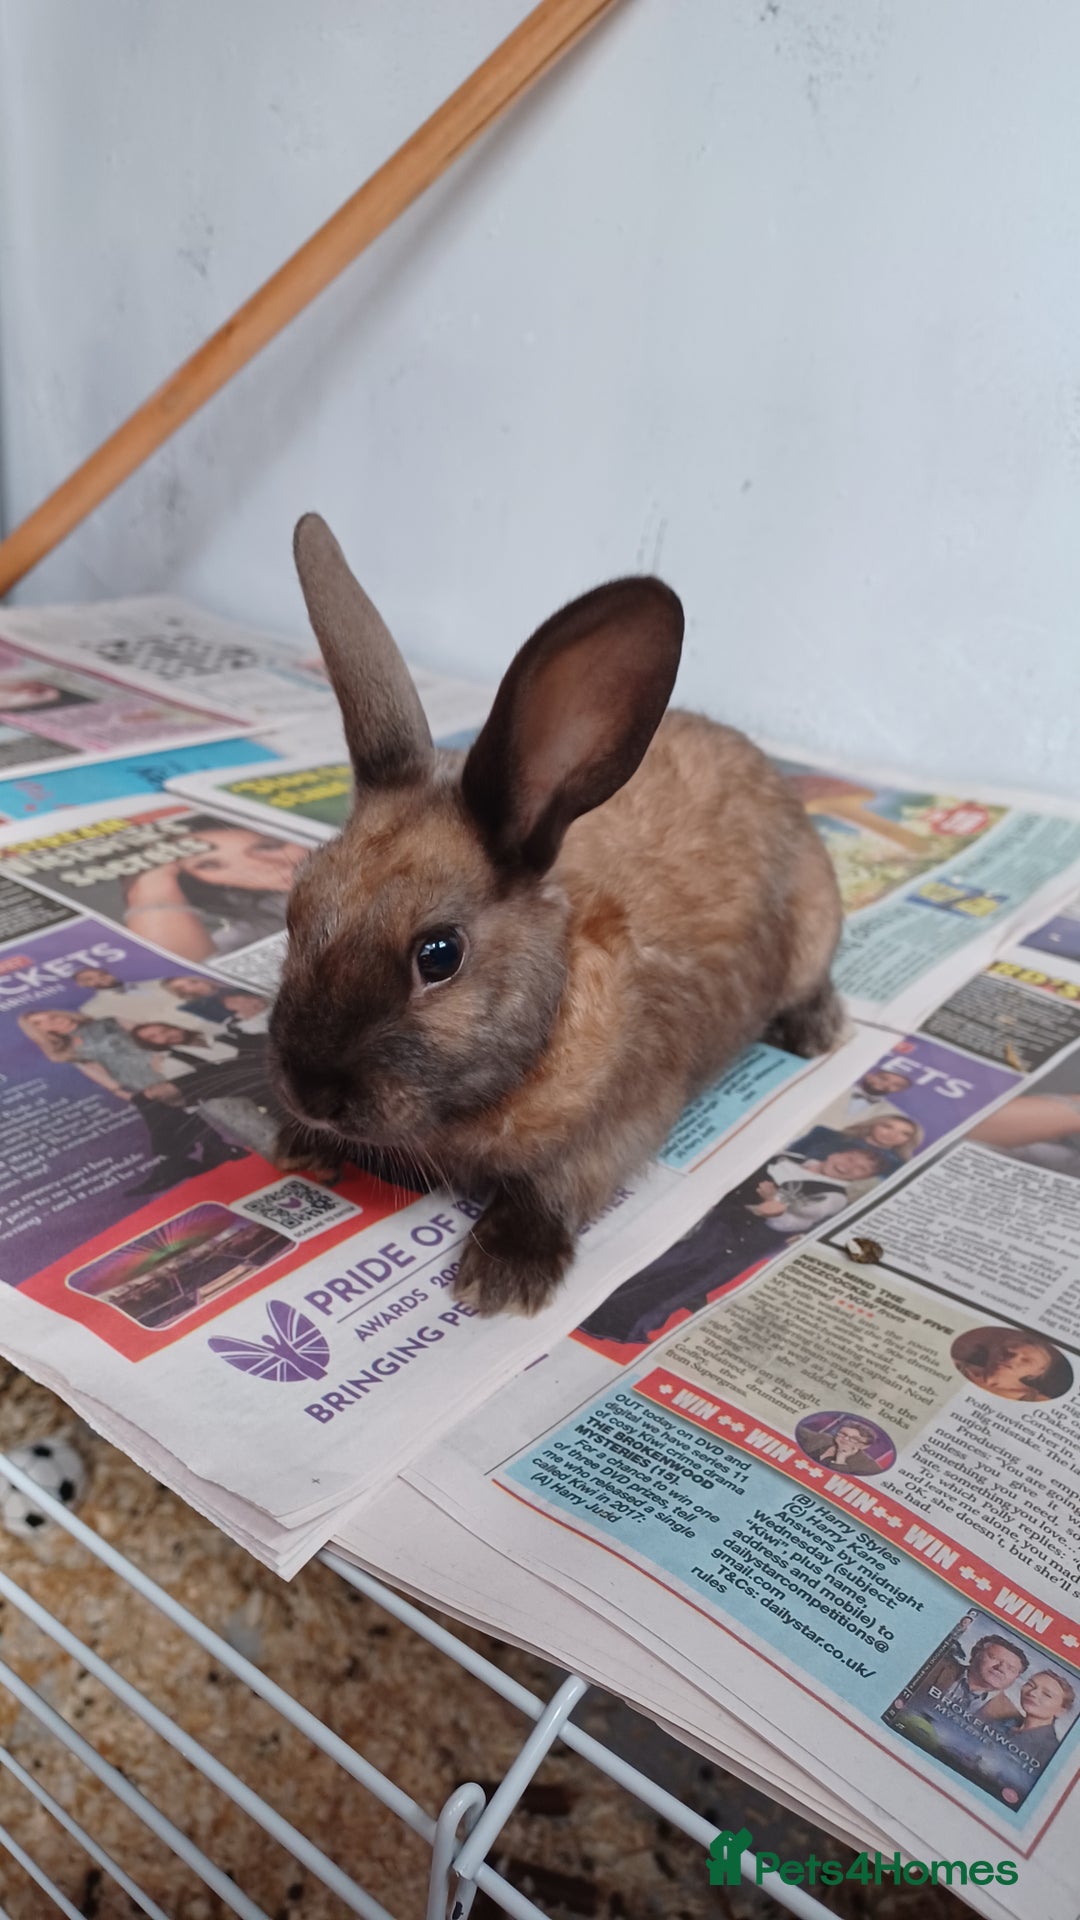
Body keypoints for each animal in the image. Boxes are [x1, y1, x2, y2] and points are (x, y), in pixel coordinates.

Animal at [268, 513, 844, 1317]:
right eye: (296, 910)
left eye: (439, 955)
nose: (310, 1094)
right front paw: (301, 1145)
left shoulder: (622, 1124)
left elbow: (556, 1184)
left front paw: (503, 1276)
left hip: (815, 930)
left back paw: (815, 1032)